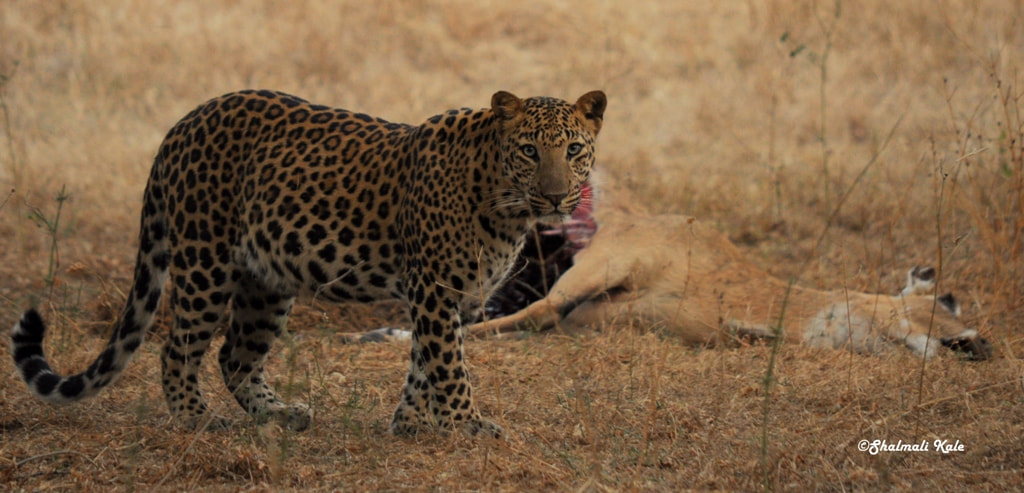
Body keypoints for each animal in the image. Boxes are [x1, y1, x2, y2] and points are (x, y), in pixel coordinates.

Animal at [10, 88, 607, 437]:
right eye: (529, 151)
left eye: (574, 150)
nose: (557, 198)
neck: (505, 203)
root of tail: (180, 126)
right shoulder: (435, 288)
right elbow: (449, 363)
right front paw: (466, 425)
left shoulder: (452, 298)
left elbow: (425, 362)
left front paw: (409, 424)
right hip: (205, 263)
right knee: (176, 349)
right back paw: (199, 421)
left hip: (266, 282)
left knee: (234, 356)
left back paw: (280, 414)